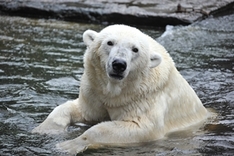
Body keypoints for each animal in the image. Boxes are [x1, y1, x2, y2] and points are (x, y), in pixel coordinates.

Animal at [32, 24, 207, 154]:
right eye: (110, 42)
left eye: (135, 49)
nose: (119, 64)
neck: (118, 90)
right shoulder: (95, 91)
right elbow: (81, 110)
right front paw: (44, 130)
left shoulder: (144, 97)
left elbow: (140, 127)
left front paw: (69, 145)